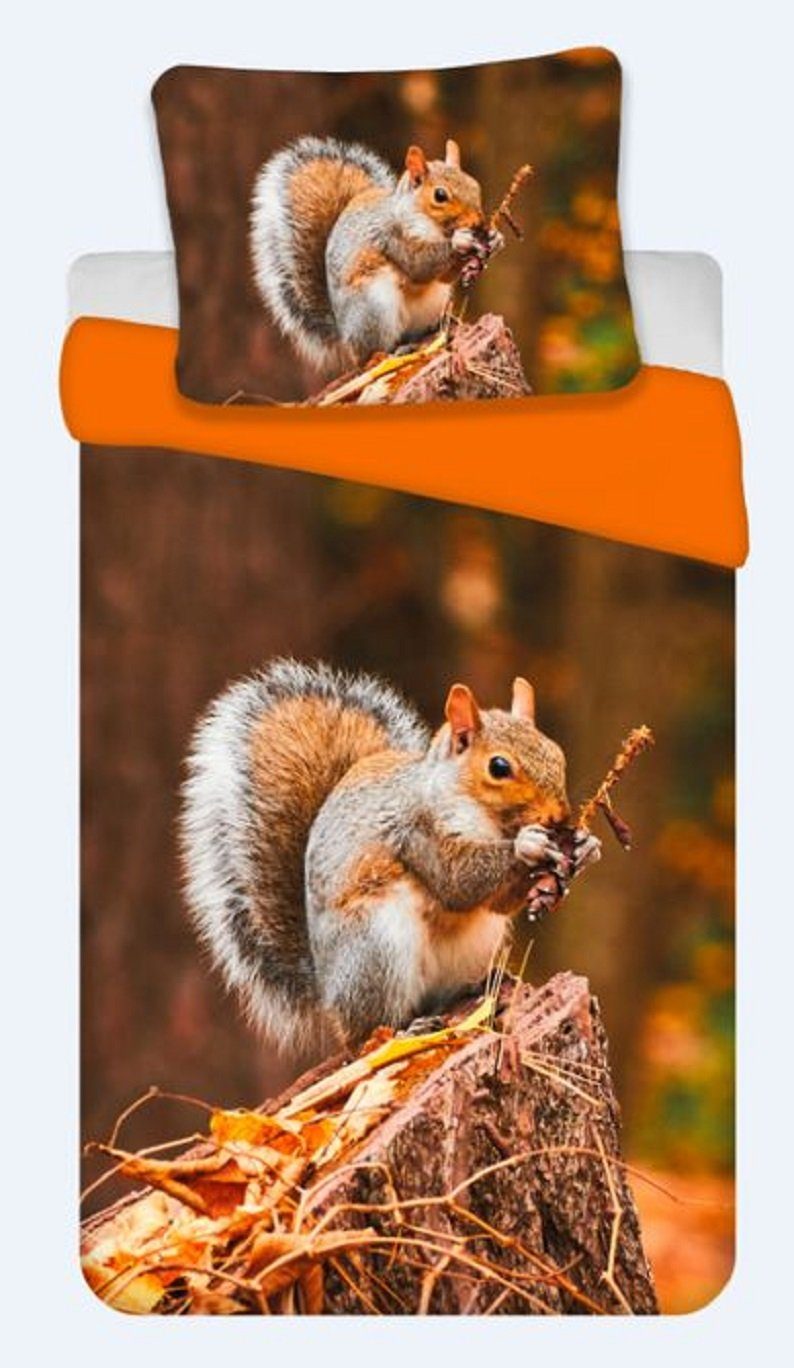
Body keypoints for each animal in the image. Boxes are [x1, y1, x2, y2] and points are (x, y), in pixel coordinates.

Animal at [180, 659, 601, 1056]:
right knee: (368, 1033)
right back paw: (403, 1030)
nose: (559, 818)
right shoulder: (416, 832)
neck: (485, 818)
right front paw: (527, 846)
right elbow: (457, 882)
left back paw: (477, 987)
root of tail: (327, 991)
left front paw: (586, 847)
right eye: (499, 767)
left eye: (556, 752)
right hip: (377, 947)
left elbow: (496, 902)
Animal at [249, 135, 503, 372]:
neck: (427, 223)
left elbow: (444, 276)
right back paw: (393, 352)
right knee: (371, 354)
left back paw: (438, 325)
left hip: (434, 301)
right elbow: (420, 265)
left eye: (474, 185)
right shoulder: (392, 237)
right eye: (440, 195)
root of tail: (345, 336)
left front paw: (495, 238)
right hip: (375, 308)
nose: (479, 223)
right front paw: (460, 241)